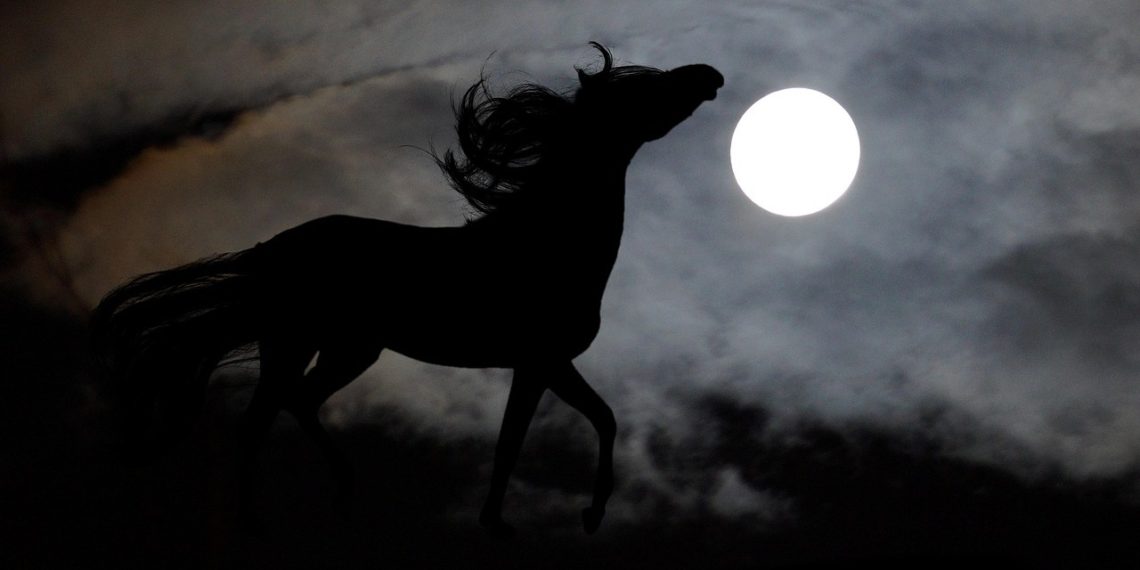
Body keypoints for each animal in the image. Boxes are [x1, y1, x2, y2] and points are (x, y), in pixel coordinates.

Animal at [90, 42, 723, 536]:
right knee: (260, 419)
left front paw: (570, 517)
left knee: (299, 402)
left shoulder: (544, 364)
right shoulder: (540, 361)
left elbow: (580, 424)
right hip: (297, 342)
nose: (709, 74)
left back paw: (344, 494)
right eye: (640, 87)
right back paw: (256, 521)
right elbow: (529, 438)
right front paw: (525, 521)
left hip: (346, 347)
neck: (544, 242)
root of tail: (272, 248)